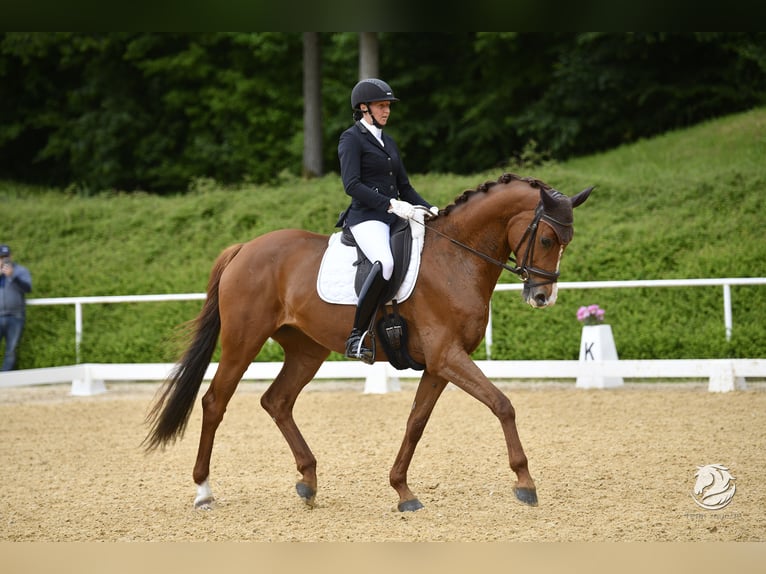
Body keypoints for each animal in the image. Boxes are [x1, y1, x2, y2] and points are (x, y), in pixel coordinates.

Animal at [144, 172, 592, 512]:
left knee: (277, 401)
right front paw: (525, 482)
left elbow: (416, 422)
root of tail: (244, 248)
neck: (456, 259)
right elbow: (502, 404)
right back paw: (204, 491)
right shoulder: (448, 357)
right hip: (243, 340)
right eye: (548, 240)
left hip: (307, 350)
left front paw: (403, 490)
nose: (543, 297)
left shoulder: (439, 364)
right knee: (215, 402)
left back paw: (308, 482)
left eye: (566, 242)